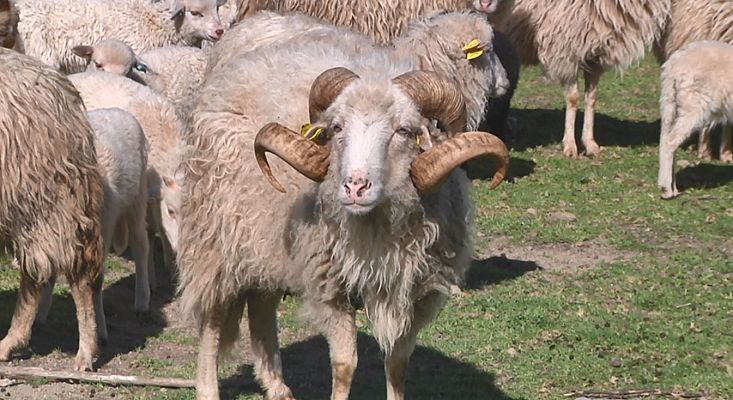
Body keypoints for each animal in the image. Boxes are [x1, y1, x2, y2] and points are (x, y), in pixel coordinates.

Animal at [177, 11, 509, 400]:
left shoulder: (415, 290)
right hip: (216, 234)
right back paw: (208, 387)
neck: (376, 230)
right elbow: (344, 364)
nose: (354, 186)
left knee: (261, 308)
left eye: (405, 130)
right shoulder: (329, 285)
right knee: (213, 319)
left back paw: (277, 387)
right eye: (336, 128)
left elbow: (397, 364)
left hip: (267, 240)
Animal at [498, 0, 671, 158]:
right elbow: (573, 98)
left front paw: (590, 143)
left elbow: (592, 98)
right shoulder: (566, 51)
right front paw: (569, 145)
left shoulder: (595, 57)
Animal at [658, 40, 733, 199]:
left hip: (671, 103)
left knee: (666, 139)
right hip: (693, 104)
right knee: (670, 142)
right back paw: (667, 190)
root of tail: (673, 65)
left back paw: (672, 187)